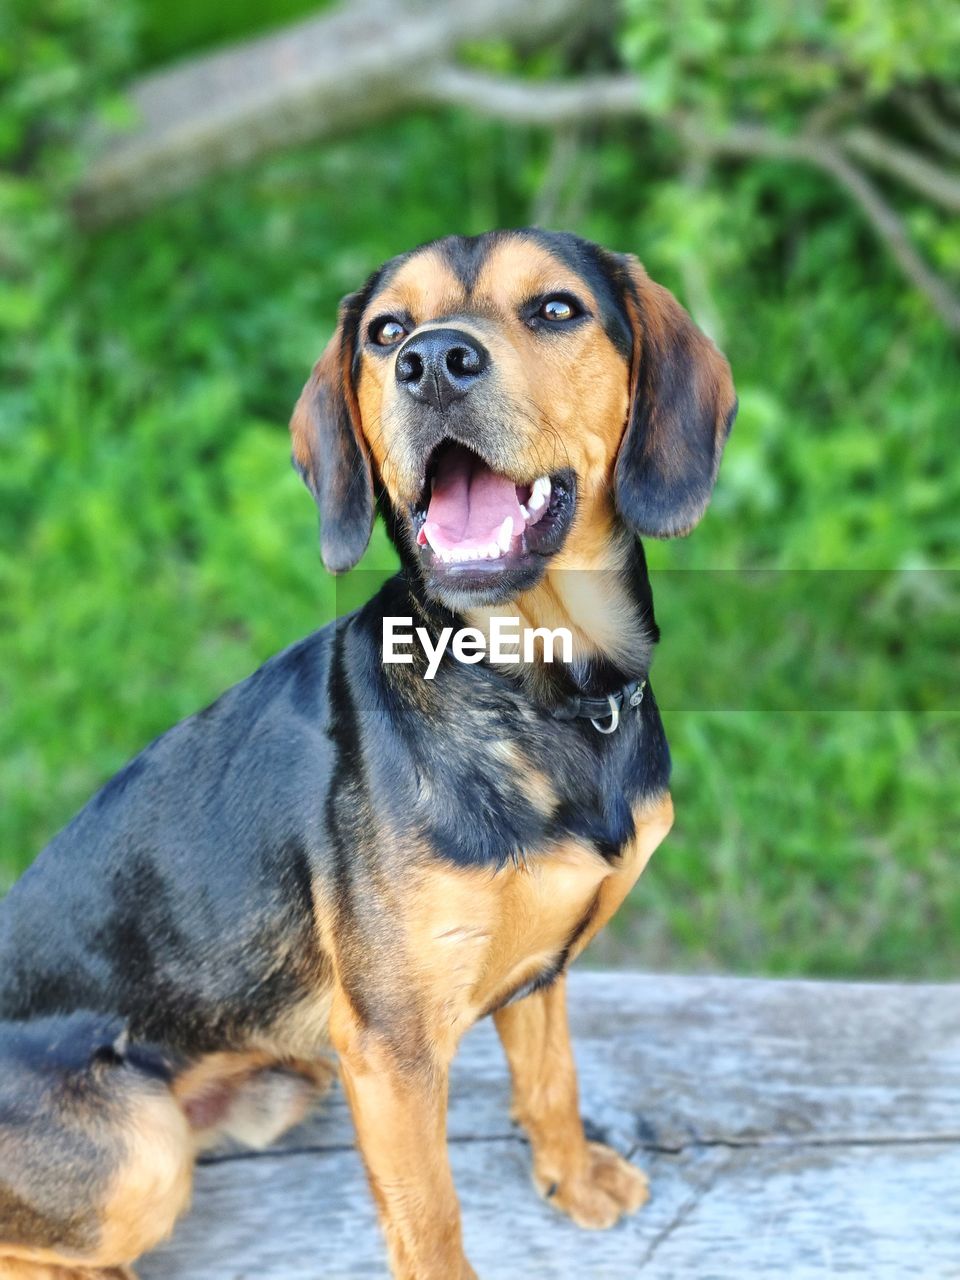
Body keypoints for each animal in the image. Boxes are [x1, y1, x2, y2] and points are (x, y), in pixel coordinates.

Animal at [0, 230, 737, 1280]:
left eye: (556, 309)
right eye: (387, 331)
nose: (431, 362)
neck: (541, 694)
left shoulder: (539, 973)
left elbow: (550, 1081)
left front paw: (572, 1178)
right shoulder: (391, 1052)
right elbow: (431, 1222)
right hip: (142, 1150)